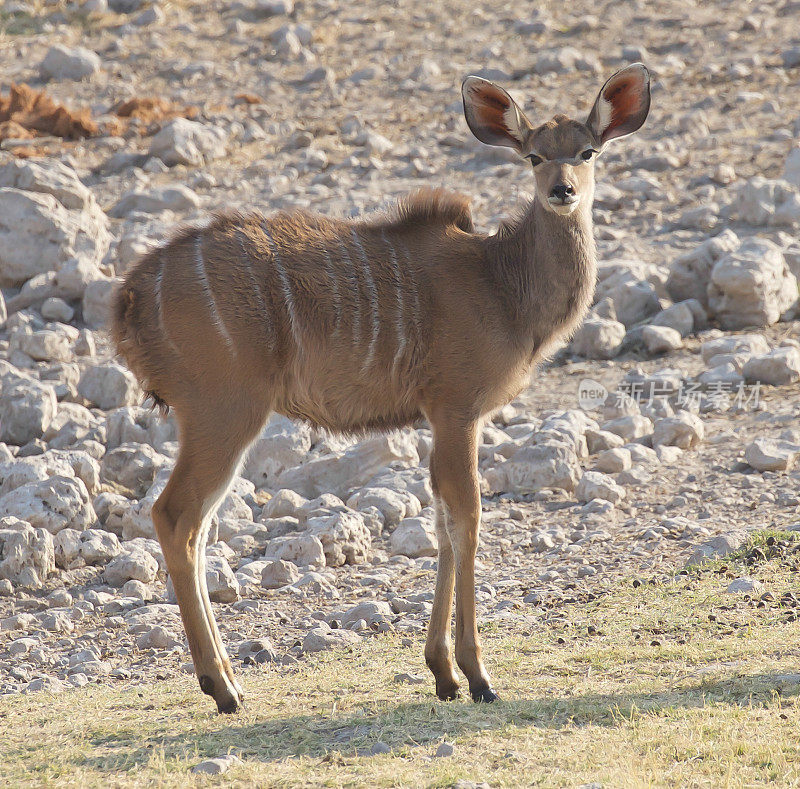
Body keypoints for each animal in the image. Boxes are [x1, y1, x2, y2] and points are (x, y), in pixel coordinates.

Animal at [112, 64, 648, 712]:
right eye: (534, 155)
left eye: (588, 151)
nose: (563, 191)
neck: (500, 284)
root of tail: (130, 298)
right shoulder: (457, 410)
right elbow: (466, 517)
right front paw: (477, 675)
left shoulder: (441, 418)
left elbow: (443, 522)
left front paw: (443, 673)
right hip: (226, 411)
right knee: (175, 516)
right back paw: (224, 687)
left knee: (194, 526)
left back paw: (228, 681)